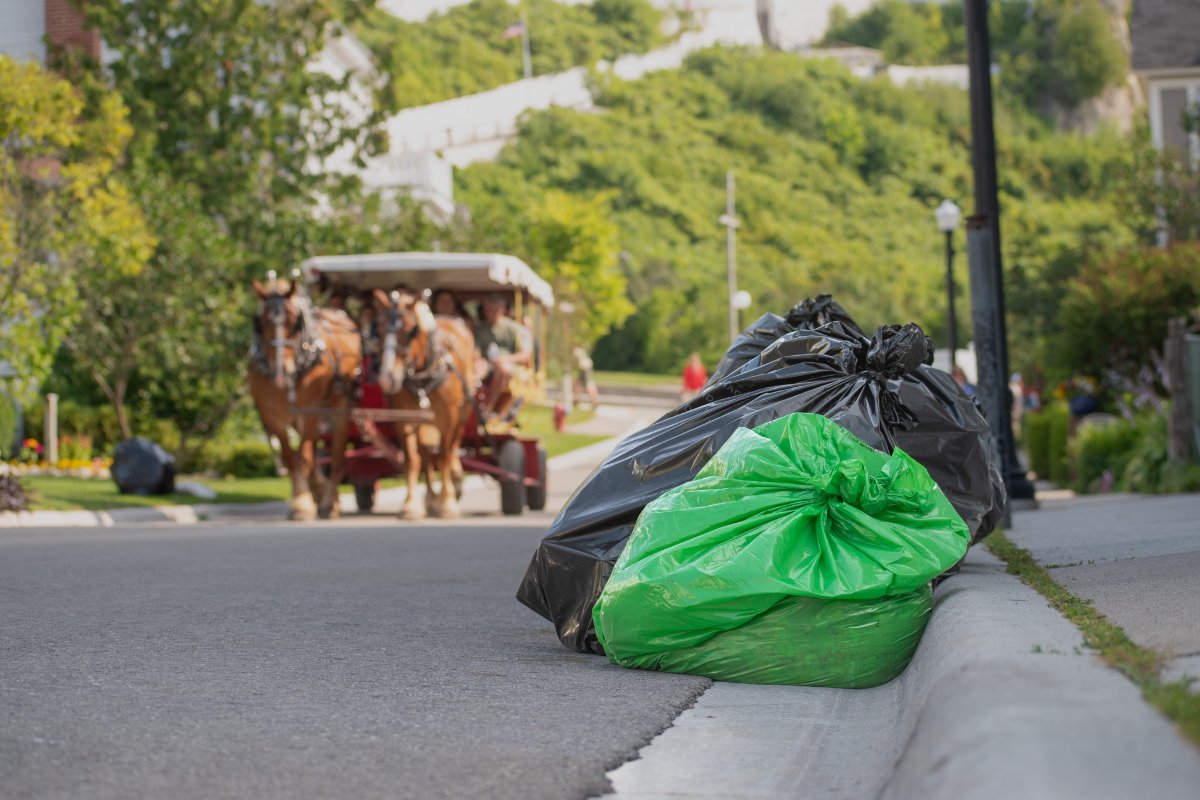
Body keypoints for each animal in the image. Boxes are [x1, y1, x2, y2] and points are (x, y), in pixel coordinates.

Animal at [242, 278, 355, 522]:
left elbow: (303, 456)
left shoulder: (309, 408)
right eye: (260, 322)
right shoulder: (271, 414)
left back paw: (329, 500)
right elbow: (289, 456)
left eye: (294, 322)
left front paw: (302, 503)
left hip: (339, 407)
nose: (282, 369)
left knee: (336, 454)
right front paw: (303, 497)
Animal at [372, 287, 475, 520]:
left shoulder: (449, 419)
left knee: (452, 448)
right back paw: (430, 498)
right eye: (380, 330)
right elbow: (412, 460)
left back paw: (453, 482)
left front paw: (447, 503)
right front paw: (411, 505)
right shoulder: (405, 420)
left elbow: (444, 457)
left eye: (409, 330)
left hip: (462, 414)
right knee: (426, 456)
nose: (386, 378)